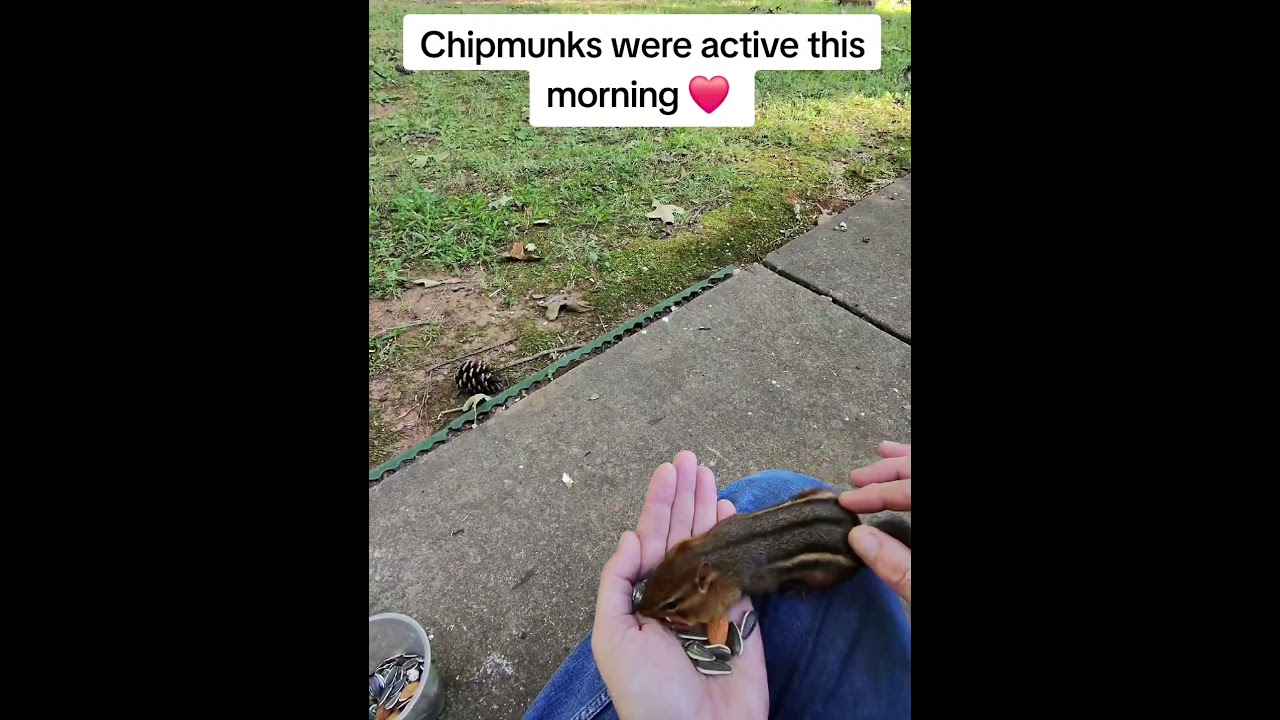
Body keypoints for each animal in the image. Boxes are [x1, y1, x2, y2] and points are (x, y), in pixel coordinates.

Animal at [633, 487, 911, 629]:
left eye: (672, 604)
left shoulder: (727, 595)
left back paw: (797, 588)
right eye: (657, 570)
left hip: (826, 574)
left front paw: (676, 624)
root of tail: (856, 529)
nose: (639, 609)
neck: (712, 552)